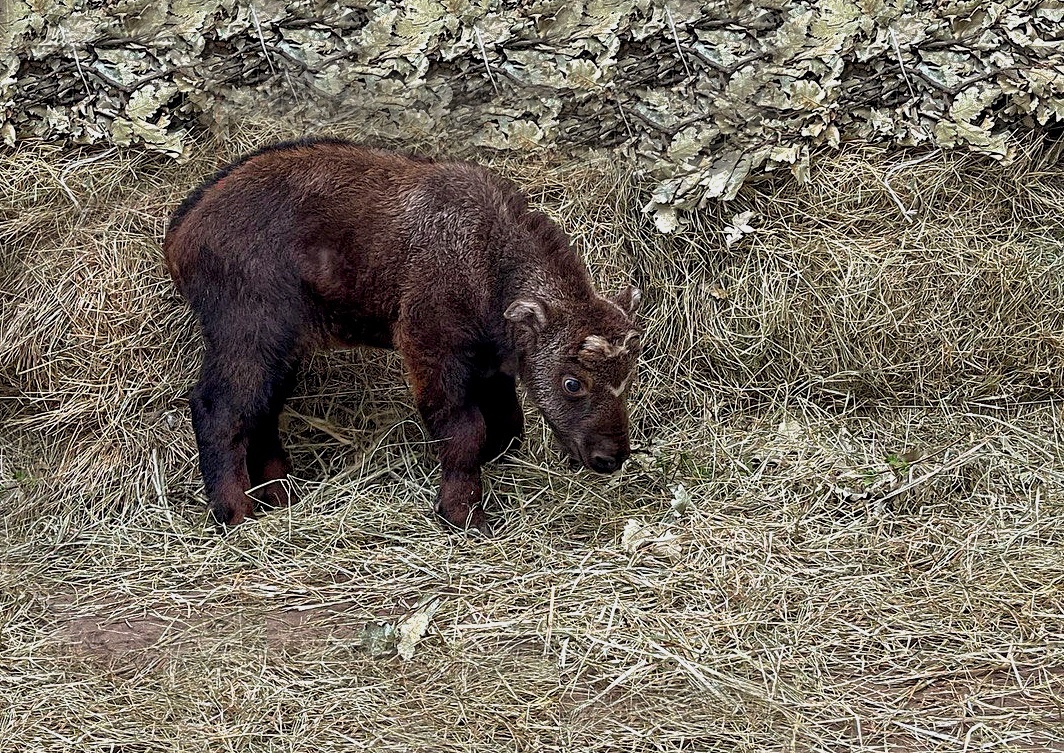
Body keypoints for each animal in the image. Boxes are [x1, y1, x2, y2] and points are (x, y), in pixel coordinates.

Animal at [159, 138, 638, 531]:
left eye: (628, 377)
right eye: (573, 382)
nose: (610, 457)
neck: (488, 259)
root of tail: (180, 233)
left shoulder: (489, 365)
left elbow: (508, 425)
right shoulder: (431, 349)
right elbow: (466, 431)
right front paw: (464, 515)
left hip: (282, 349)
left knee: (263, 410)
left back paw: (282, 494)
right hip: (250, 337)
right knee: (219, 409)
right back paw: (235, 513)